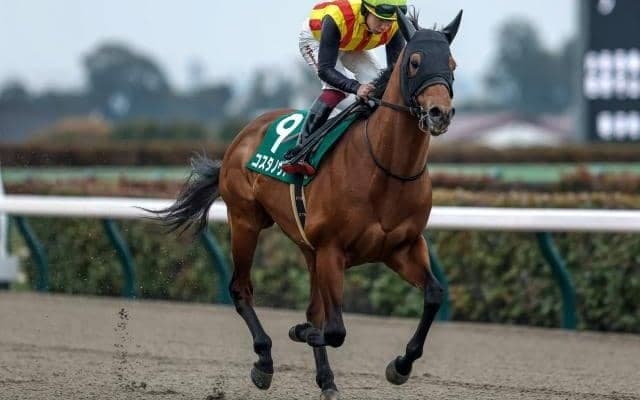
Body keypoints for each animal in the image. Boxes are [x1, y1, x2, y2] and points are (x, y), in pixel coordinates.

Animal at [154, 9, 461, 400]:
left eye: (452, 64)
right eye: (415, 62)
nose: (440, 113)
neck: (387, 170)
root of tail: (244, 134)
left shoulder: (403, 248)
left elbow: (434, 296)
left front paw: (401, 365)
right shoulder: (332, 250)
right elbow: (334, 330)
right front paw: (297, 333)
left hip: (306, 247)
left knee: (313, 308)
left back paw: (326, 379)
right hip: (245, 221)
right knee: (241, 289)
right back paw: (264, 361)